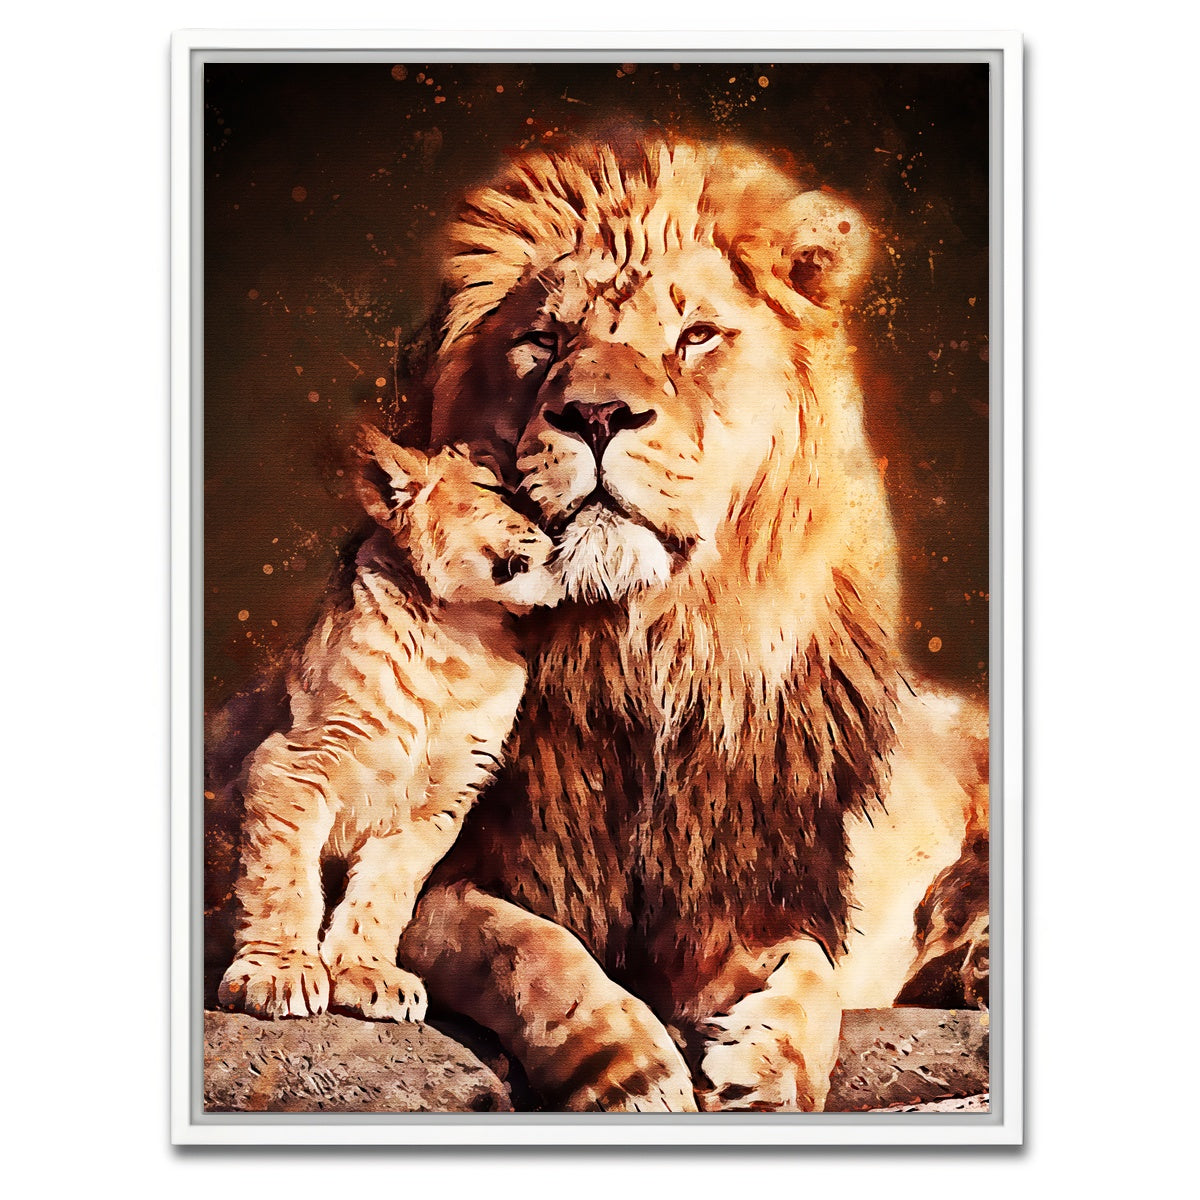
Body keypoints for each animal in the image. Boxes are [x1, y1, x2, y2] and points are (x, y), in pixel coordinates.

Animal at [217, 426, 562, 1023]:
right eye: (498, 490)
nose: (562, 533)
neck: (458, 639)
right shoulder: (291, 761)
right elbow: (283, 875)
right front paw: (278, 972)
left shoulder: (438, 805)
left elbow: (386, 891)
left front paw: (366, 973)